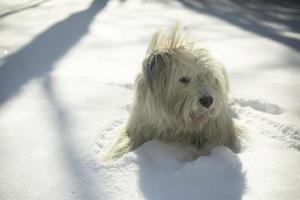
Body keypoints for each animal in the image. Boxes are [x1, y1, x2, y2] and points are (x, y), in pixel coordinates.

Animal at [103, 24, 239, 162]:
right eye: (183, 79)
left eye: (209, 77)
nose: (207, 101)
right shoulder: (139, 127)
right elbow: (124, 143)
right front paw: (112, 159)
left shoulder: (219, 131)